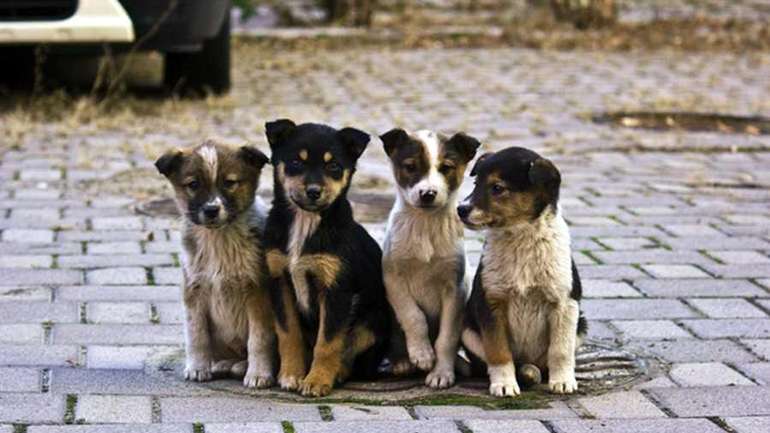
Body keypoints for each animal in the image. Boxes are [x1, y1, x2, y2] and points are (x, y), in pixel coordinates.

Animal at [155, 139, 276, 388]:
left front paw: (259, 374)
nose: (211, 209)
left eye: (229, 183)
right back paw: (222, 364)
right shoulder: (193, 289)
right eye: (193, 184)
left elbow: (258, 339)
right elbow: (196, 334)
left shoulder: (258, 291)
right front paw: (197, 368)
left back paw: (242, 367)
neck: (219, 239)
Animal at [260, 118, 390, 394]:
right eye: (296, 162)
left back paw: (337, 373)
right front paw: (291, 374)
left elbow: (328, 342)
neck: (305, 222)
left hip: (373, 321)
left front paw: (317, 381)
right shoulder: (279, 280)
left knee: (353, 355)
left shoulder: (337, 290)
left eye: (334, 166)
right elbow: (288, 333)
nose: (313, 191)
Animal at [376, 128, 476, 388]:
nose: (428, 194)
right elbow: (414, 316)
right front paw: (421, 354)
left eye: (447, 167)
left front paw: (441, 372)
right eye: (410, 167)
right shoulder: (394, 279)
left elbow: (446, 338)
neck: (425, 224)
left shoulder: (455, 289)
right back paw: (402, 362)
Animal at [456, 147, 588, 396]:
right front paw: (504, 384)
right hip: (468, 330)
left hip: (581, 325)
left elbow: (560, 350)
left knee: (543, 363)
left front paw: (563, 381)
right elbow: (498, 351)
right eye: (476, 183)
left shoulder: (564, 303)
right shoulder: (491, 302)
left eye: (497, 188)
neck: (520, 237)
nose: (460, 209)